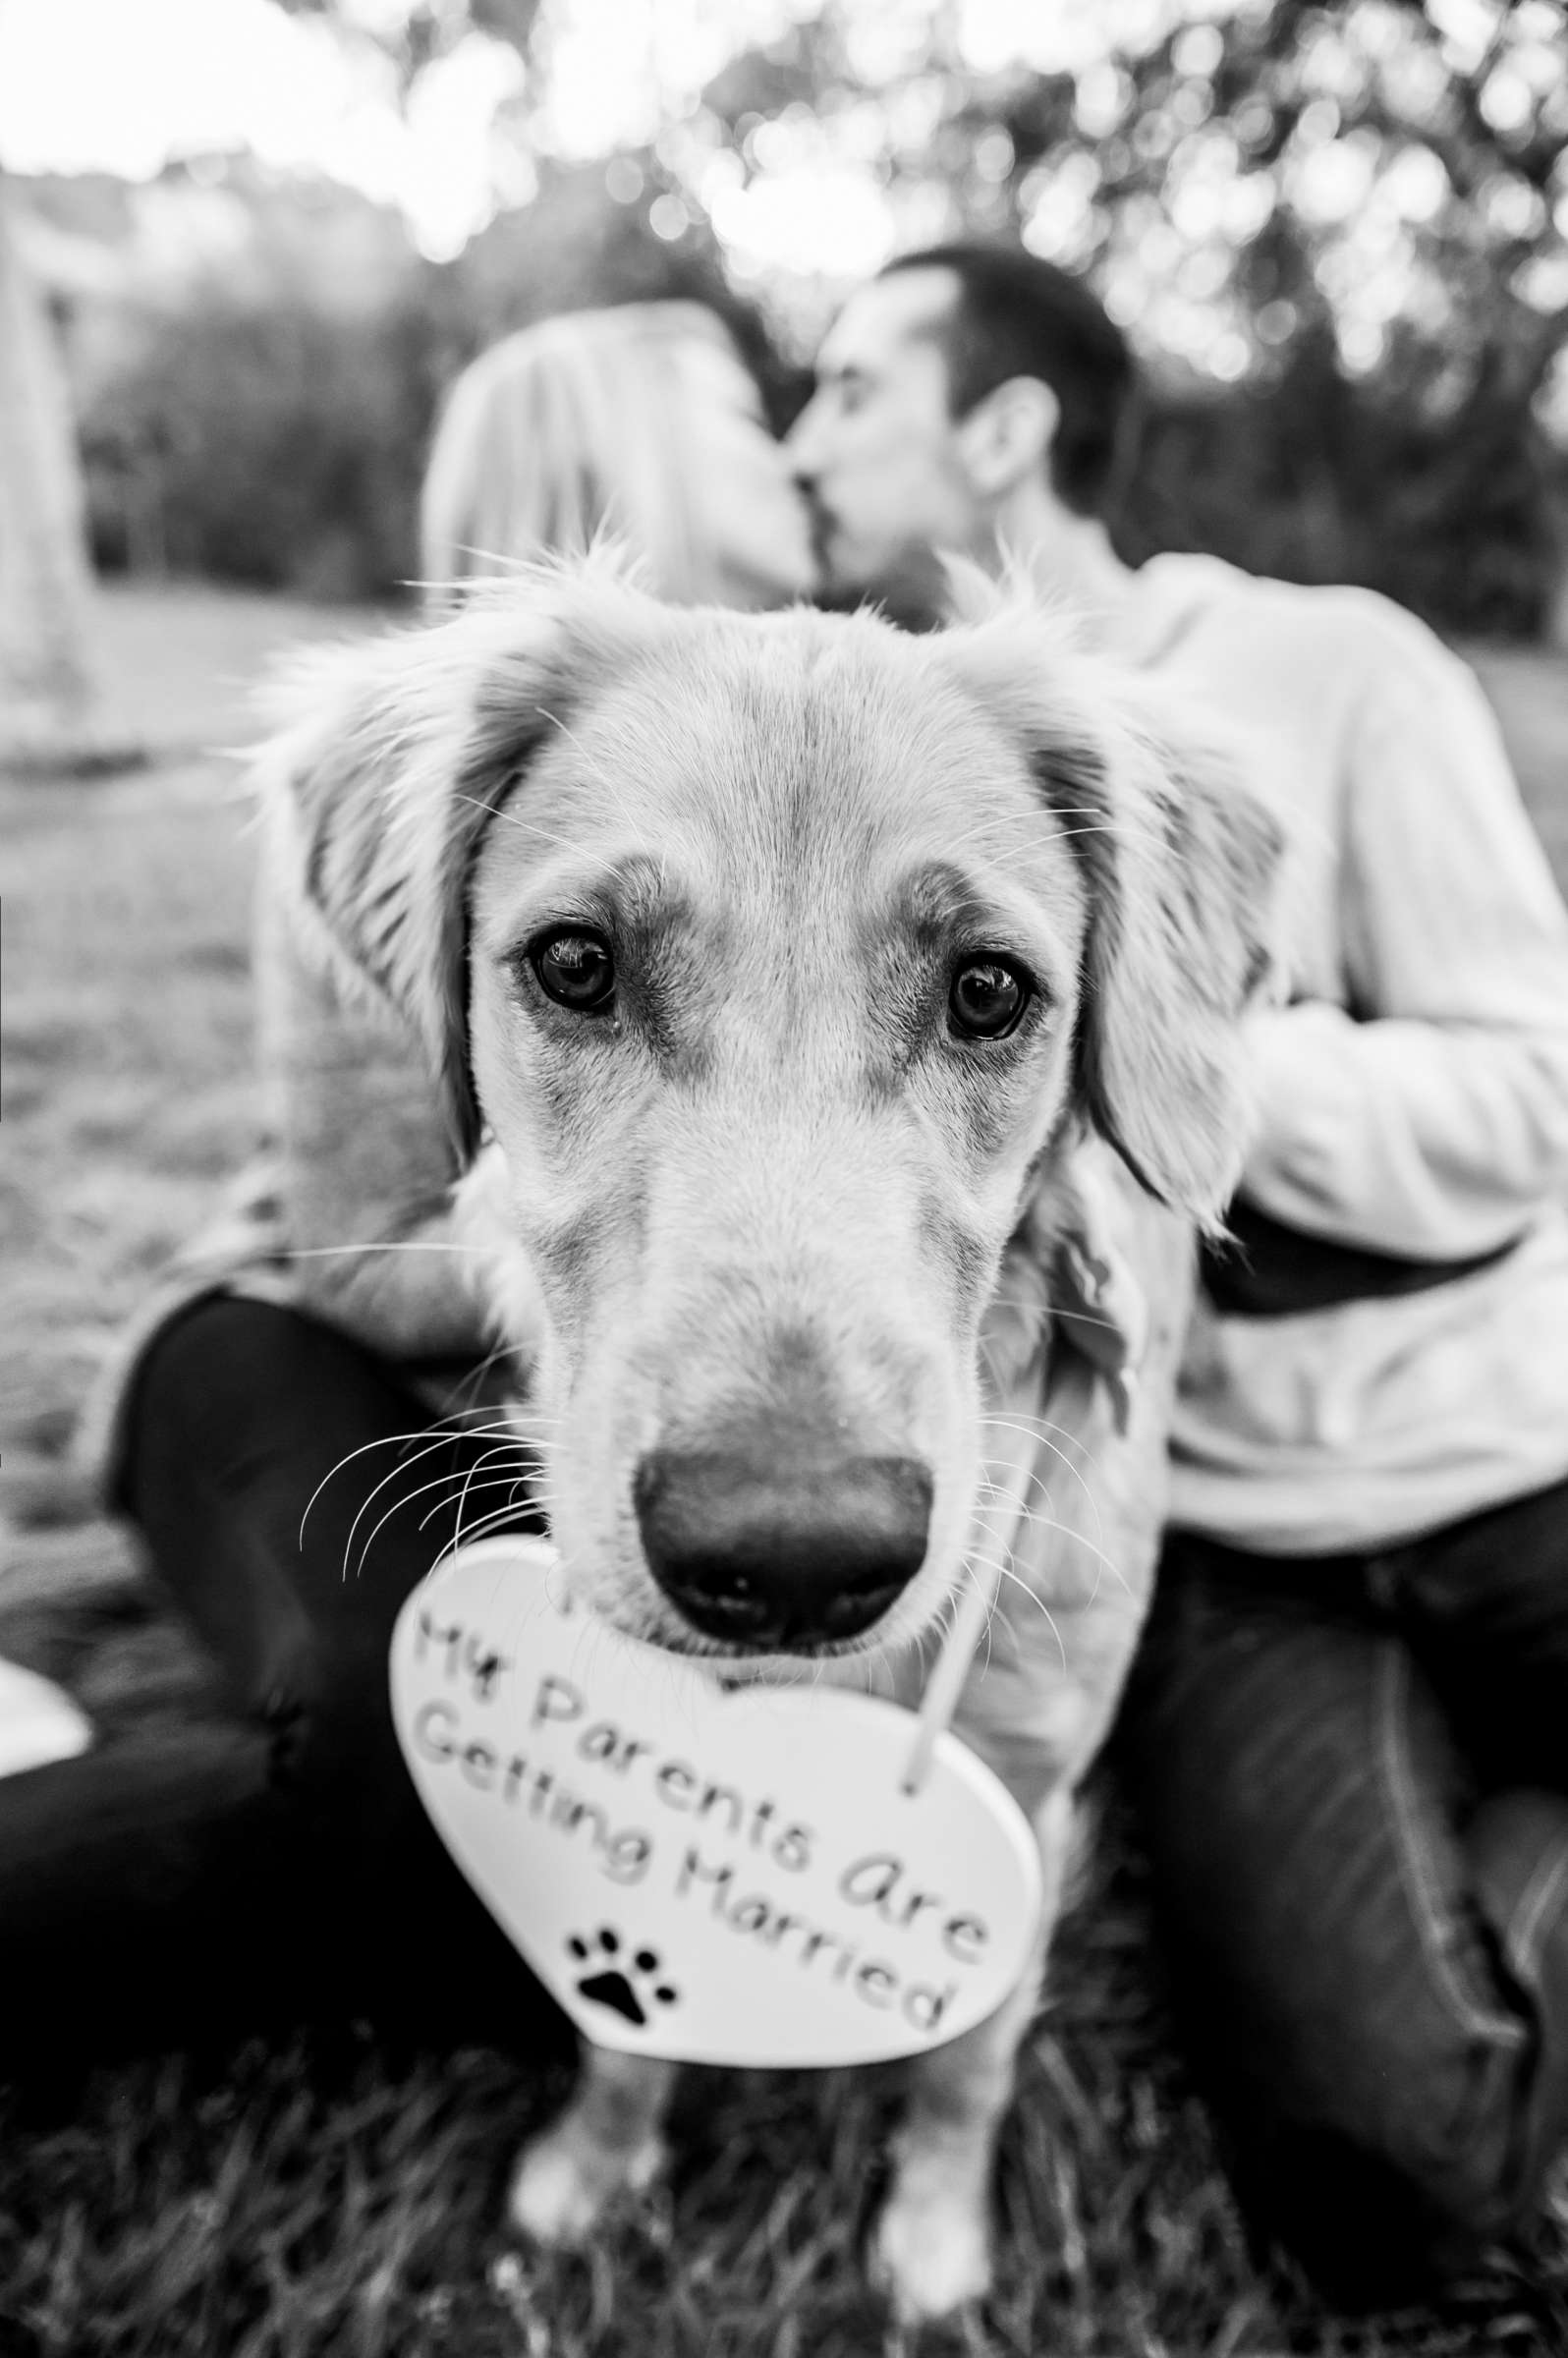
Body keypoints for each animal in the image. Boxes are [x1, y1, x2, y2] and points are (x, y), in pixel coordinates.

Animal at [256, 551, 1282, 2320]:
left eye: (989, 991)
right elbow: (619, 2019)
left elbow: (967, 2065)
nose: (796, 1559)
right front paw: (594, 2168)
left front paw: (935, 2243)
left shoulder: (1021, 1795)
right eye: (576, 965)